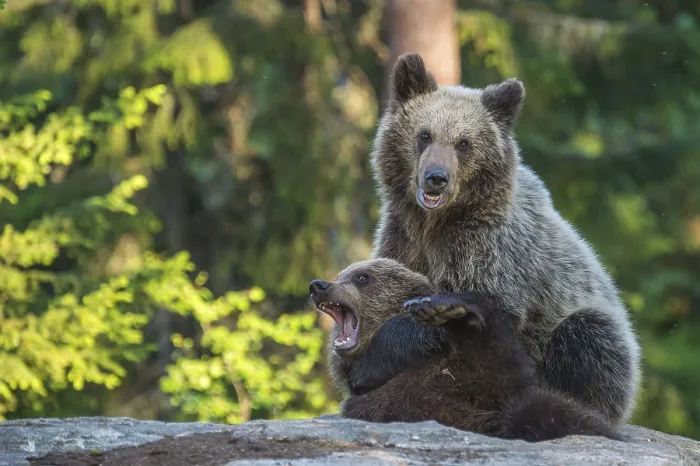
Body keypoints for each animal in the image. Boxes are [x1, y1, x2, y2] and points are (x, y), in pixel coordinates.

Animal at [355, 52, 641, 424]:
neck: (435, 224)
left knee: (588, 337)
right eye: (424, 134)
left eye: (464, 143)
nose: (436, 178)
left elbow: (484, 312)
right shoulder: (403, 238)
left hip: (597, 331)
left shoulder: (489, 249)